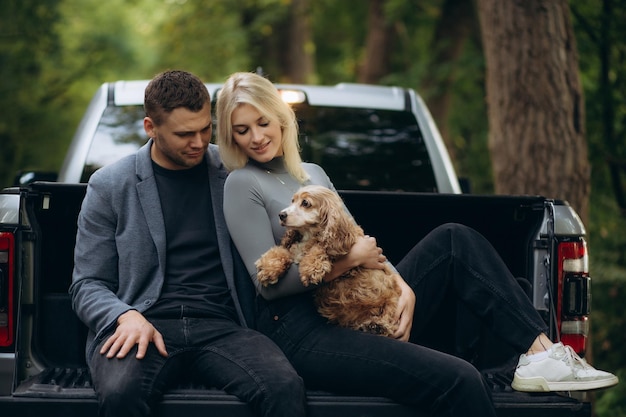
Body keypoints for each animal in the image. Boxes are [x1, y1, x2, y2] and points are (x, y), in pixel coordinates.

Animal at [254, 184, 400, 334]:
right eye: (292, 201)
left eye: (305, 203)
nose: (281, 215)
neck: (308, 235)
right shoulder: (294, 250)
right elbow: (282, 251)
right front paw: (269, 267)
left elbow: (321, 246)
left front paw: (310, 268)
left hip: (391, 297)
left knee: (389, 314)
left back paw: (377, 325)